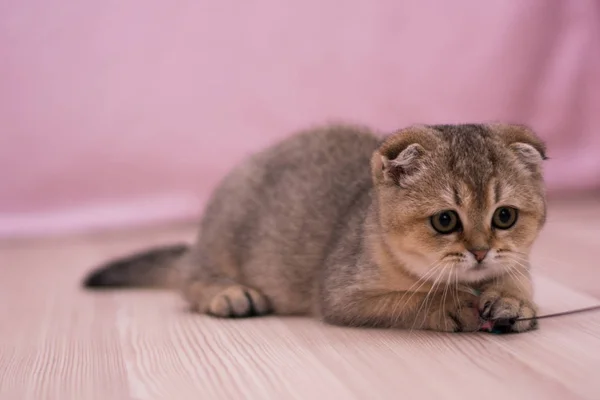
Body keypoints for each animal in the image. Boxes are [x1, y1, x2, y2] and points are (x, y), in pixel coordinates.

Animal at [84, 123, 548, 332]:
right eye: (446, 220)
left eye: (504, 216)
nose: (481, 251)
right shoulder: (340, 294)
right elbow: (408, 301)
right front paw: (451, 303)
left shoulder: (517, 261)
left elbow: (516, 276)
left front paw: (511, 300)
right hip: (221, 237)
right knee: (188, 277)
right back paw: (228, 293)